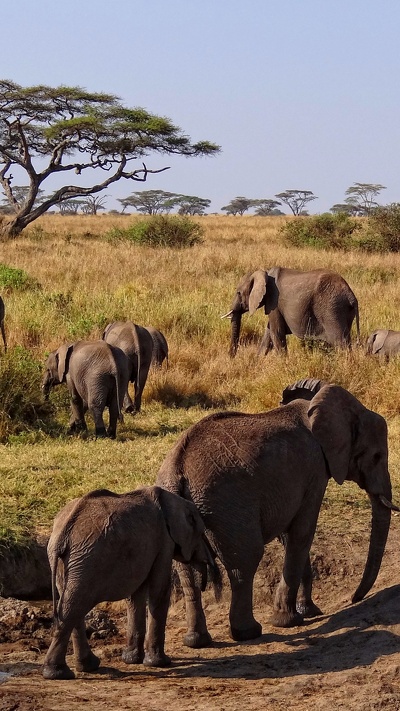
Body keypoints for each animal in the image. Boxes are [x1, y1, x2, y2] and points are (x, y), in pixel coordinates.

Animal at [42, 486, 217, 680]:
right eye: (201, 532)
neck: (175, 501)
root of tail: (62, 535)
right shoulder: (164, 540)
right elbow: (159, 590)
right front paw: (160, 663)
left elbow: (136, 596)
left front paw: (132, 660)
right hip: (86, 560)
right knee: (73, 607)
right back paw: (58, 673)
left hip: (69, 561)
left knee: (72, 606)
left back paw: (86, 667)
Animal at [155, 382, 396, 648]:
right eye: (376, 456)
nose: (354, 599)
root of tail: (178, 470)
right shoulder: (315, 469)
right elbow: (302, 532)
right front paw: (288, 620)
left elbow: (290, 536)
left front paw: (308, 611)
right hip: (227, 506)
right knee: (245, 561)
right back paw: (249, 632)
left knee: (188, 572)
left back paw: (196, 641)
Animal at [222, 268, 360, 356]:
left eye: (238, 293)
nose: (232, 357)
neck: (264, 273)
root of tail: (351, 295)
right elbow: (268, 333)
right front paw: (257, 364)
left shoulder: (274, 302)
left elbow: (276, 333)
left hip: (331, 309)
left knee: (340, 342)